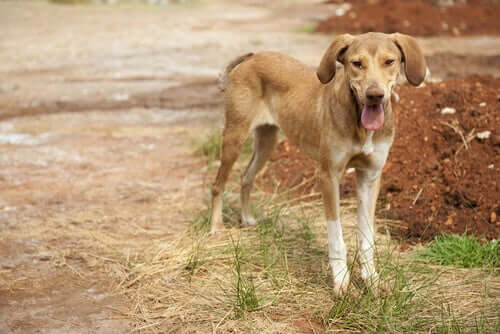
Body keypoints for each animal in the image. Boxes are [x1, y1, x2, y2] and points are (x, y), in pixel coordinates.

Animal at [209, 32, 424, 296]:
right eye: (356, 63)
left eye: (389, 61)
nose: (375, 95)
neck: (360, 125)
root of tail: (252, 57)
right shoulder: (328, 175)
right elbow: (336, 236)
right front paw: (341, 280)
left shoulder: (370, 176)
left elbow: (367, 237)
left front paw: (371, 280)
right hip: (234, 136)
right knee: (218, 184)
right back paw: (216, 227)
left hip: (267, 140)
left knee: (246, 177)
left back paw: (246, 218)